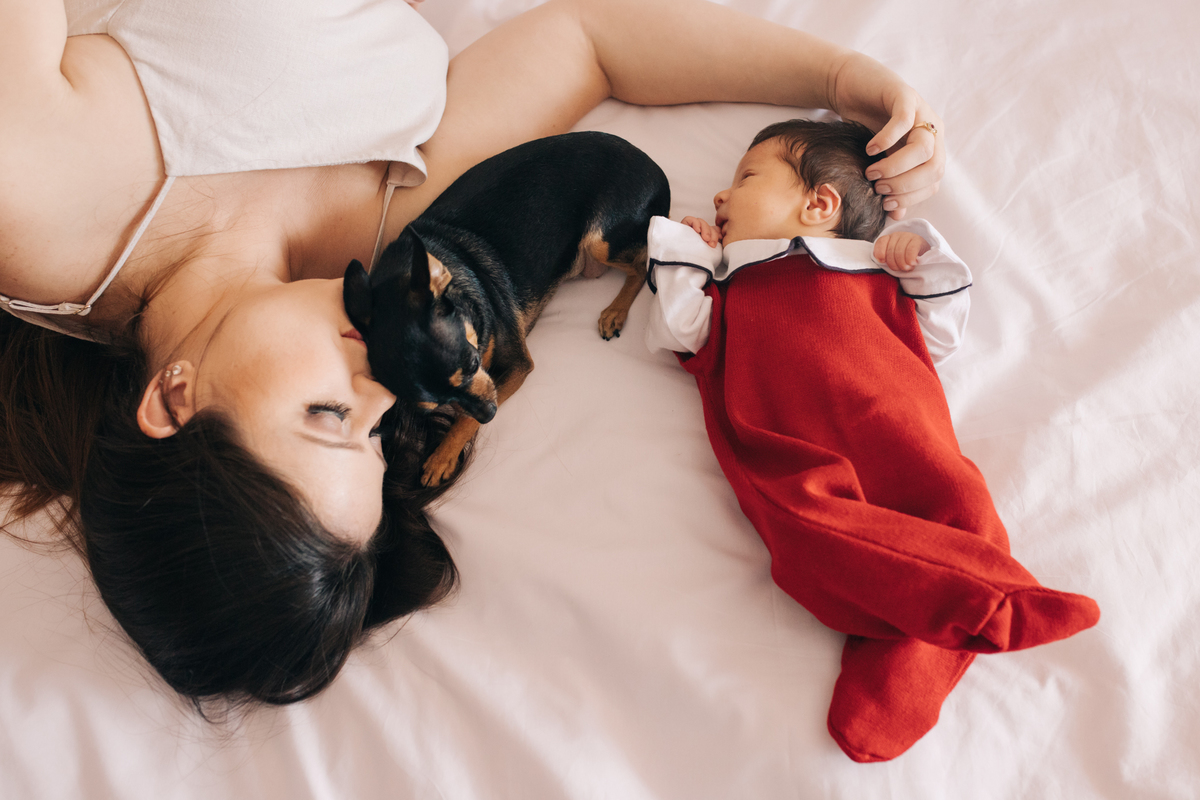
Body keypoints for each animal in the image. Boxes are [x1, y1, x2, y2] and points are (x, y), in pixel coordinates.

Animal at [343, 131, 671, 486]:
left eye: (474, 363)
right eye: (432, 406)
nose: (490, 413)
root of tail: (654, 167)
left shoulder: (517, 366)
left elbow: (466, 420)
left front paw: (443, 456)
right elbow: (464, 413)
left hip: (600, 241)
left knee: (641, 264)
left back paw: (615, 312)